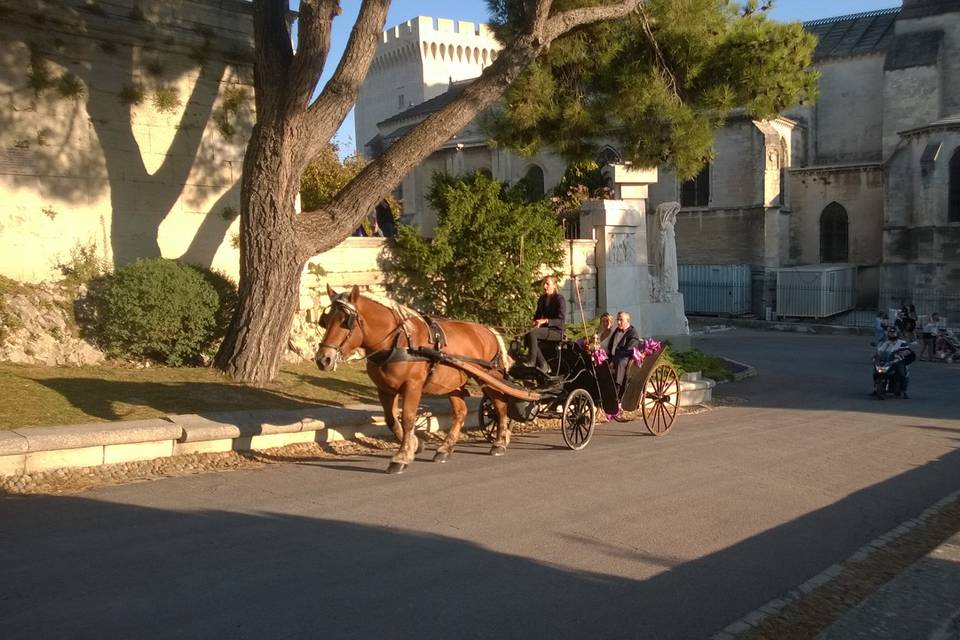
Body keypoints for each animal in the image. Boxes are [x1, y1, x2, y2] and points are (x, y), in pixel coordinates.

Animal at [316, 284, 512, 476]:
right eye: (326, 320)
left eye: (345, 322)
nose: (323, 359)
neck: (398, 342)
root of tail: (489, 331)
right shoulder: (385, 388)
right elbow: (391, 420)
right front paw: (415, 444)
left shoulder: (413, 385)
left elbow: (408, 419)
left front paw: (401, 457)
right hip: (453, 384)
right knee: (460, 412)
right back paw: (445, 449)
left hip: (488, 377)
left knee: (500, 405)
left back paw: (500, 443)